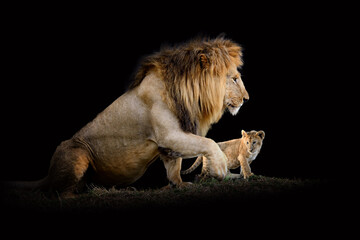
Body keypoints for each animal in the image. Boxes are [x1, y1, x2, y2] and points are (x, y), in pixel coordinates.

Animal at [35, 36, 249, 196]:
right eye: (234, 79)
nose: (246, 99)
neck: (188, 95)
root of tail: (48, 174)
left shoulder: (168, 143)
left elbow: (174, 167)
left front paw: (178, 185)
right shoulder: (168, 135)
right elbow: (208, 142)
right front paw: (220, 167)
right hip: (77, 152)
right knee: (59, 193)